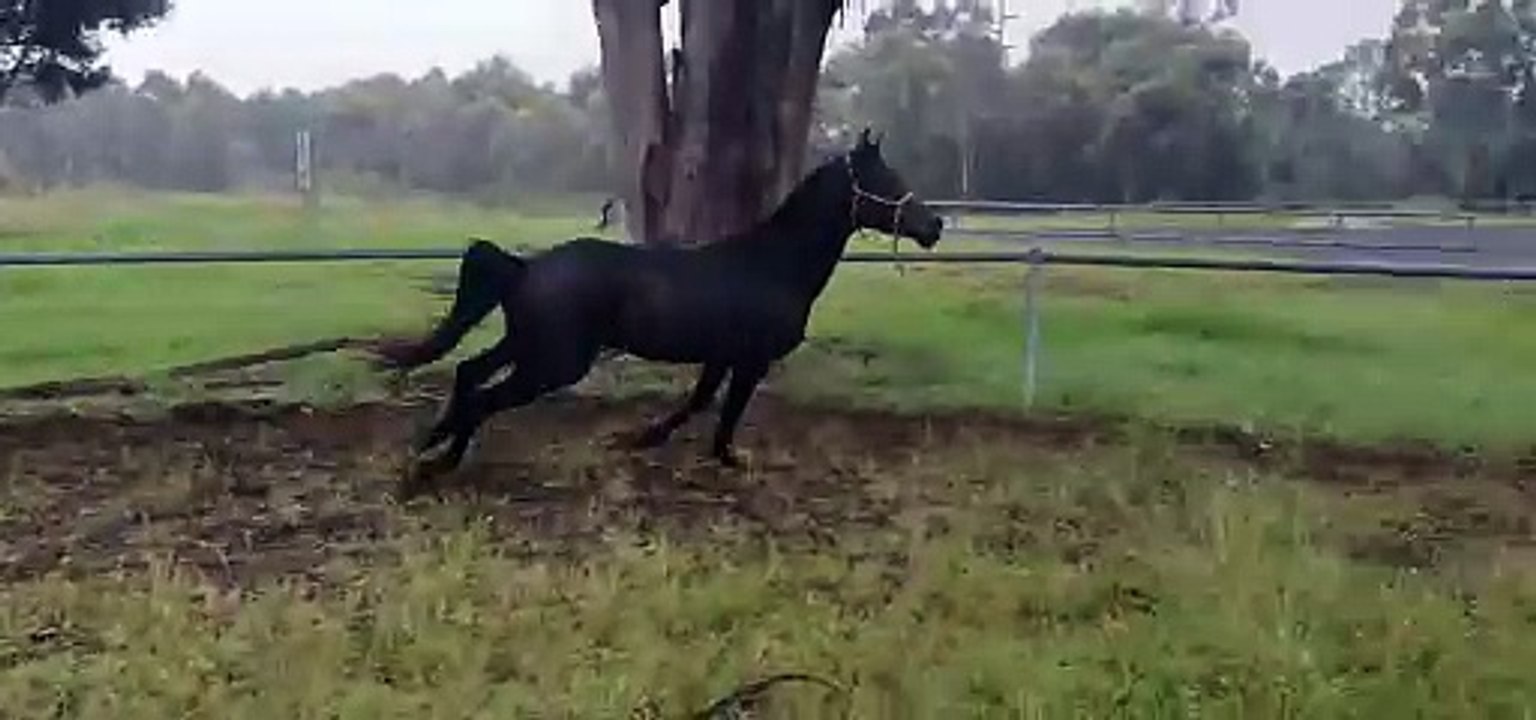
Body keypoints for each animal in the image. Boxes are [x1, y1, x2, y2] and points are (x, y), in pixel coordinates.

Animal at [367, 130, 944, 486]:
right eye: (885, 180)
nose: (934, 226)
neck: (772, 265)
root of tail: (525, 267)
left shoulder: (722, 356)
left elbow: (698, 402)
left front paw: (641, 439)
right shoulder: (750, 361)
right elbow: (724, 412)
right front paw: (726, 458)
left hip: (527, 345)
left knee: (468, 373)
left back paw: (432, 441)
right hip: (553, 362)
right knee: (482, 398)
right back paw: (435, 465)